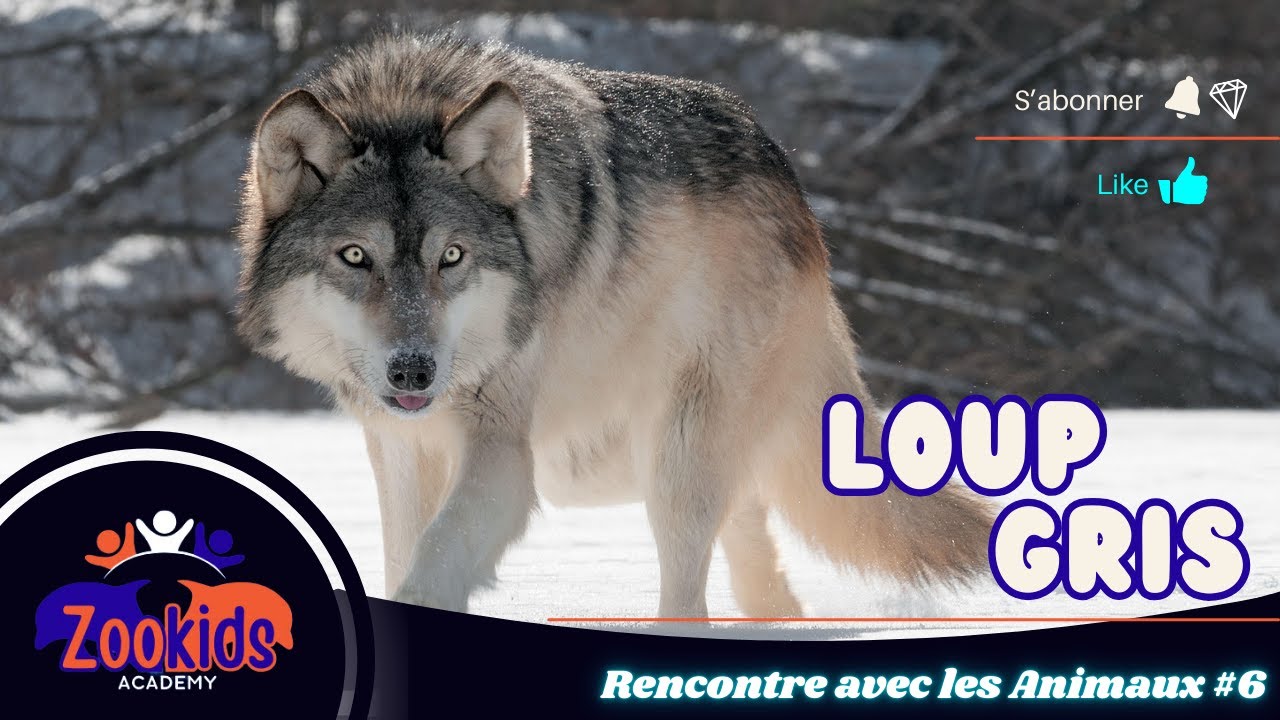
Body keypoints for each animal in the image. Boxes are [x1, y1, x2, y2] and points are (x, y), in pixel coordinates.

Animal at [235, 32, 993, 617]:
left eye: (451, 257)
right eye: (355, 256)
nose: (414, 370)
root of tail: (795, 192)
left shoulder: (501, 452)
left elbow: (436, 559)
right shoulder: (399, 446)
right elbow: (404, 554)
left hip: (667, 458)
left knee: (691, 587)